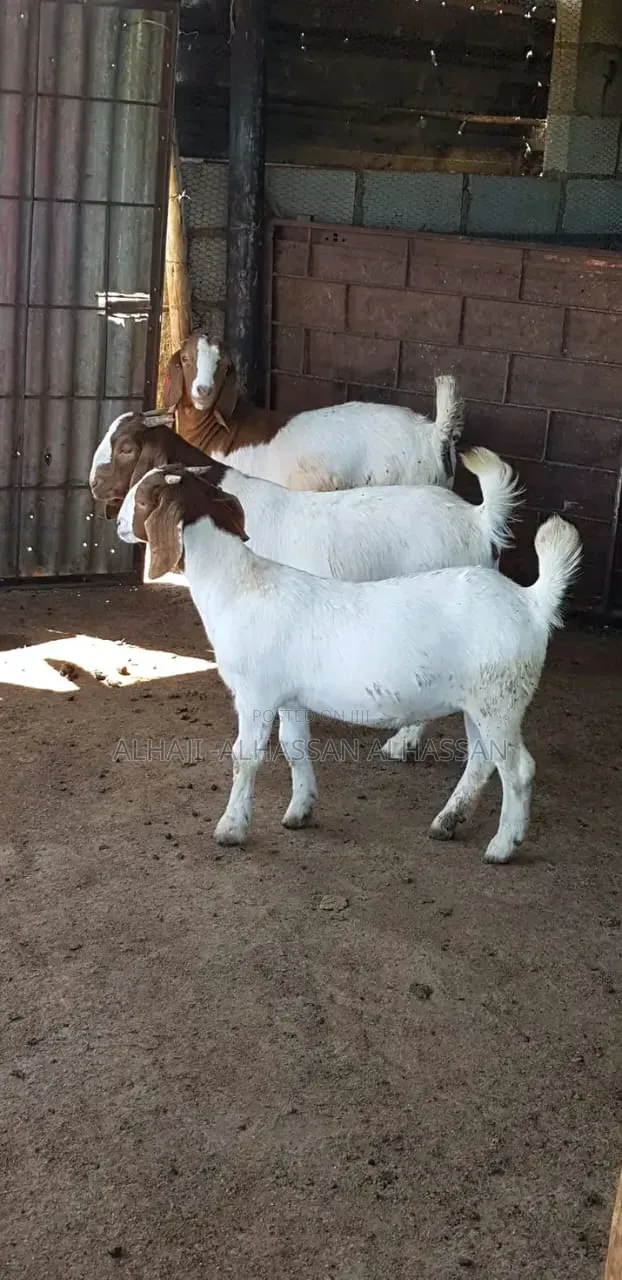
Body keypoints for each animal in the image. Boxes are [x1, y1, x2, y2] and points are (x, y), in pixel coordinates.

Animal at [117, 466, 582, 864]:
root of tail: (531, 601)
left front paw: (231, 828)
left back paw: (503, 846)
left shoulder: (255, 693)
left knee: (518, 769)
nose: (119, 525)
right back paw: (448, 822)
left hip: (500, 698)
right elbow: (294, 746)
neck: (238, 585)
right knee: (483, 760)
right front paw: (300, 810)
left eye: (141, 498)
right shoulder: (290, 696)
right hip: (481, 700)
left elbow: (244, 757)